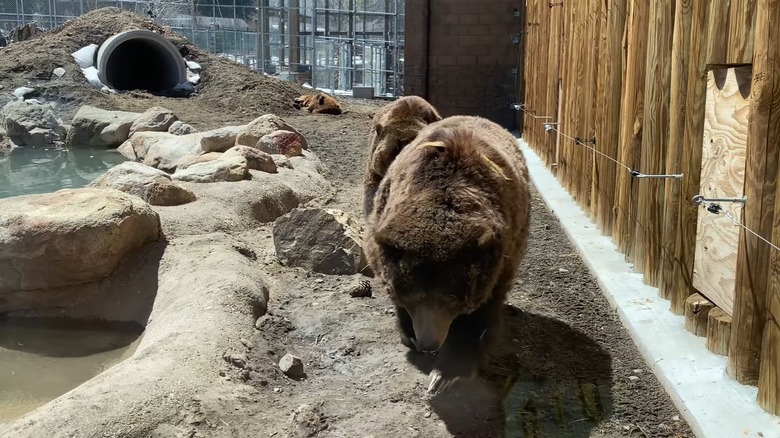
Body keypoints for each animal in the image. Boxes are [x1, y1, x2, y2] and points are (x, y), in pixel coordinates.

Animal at [364, 114, 532, 396]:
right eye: (413, 295)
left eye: (450, 298)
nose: (428, 344)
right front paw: (408, 333)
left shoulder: (498, 258)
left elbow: (480, 314)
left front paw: (448, 373)